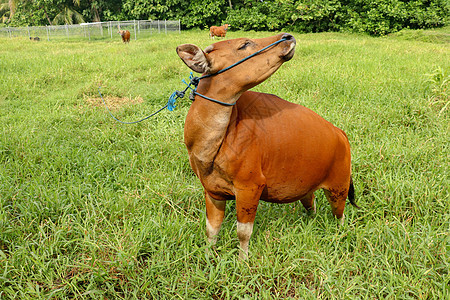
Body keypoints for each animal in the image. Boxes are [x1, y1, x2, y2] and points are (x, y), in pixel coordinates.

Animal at [176, 32, 358, 258]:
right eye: (244, 44)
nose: (287, 36)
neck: (210, 144)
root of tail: (340, 133)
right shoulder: (212, 191)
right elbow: (211, 229)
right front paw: (209, 255)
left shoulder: (250, 187)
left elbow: (243, 232)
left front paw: (242, 260)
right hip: (309, 187)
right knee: (311, 205)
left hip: (339, 186)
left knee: (339, 215)